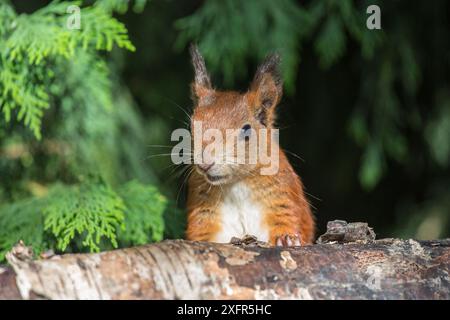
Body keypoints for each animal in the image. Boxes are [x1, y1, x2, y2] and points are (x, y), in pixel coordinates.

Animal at [185, 44, 314, 245]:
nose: (204, 163)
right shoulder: (203, 210)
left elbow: (287, 217)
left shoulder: (283, 196)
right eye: (191, 126)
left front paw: (287, 238)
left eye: (247, 130)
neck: (235, 183)